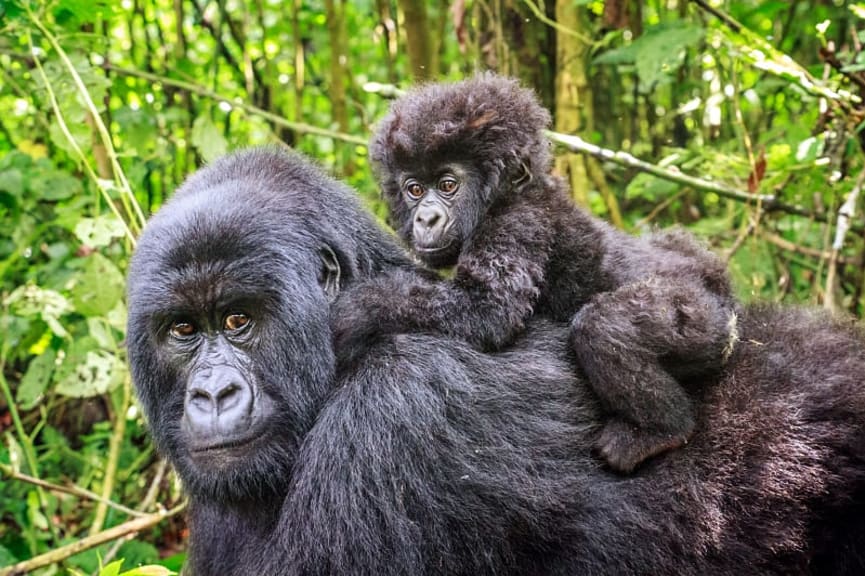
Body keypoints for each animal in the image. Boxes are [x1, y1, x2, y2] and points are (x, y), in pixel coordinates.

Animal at [336, 74, 736, 474]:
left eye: (448, 185)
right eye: (414, 189)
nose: (426, 218)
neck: (507, 195)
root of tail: (716, 280)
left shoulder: (516, 222)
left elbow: (488, 310)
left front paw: (359, 309)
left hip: (707, 318)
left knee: (604, 326)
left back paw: (660, 430)